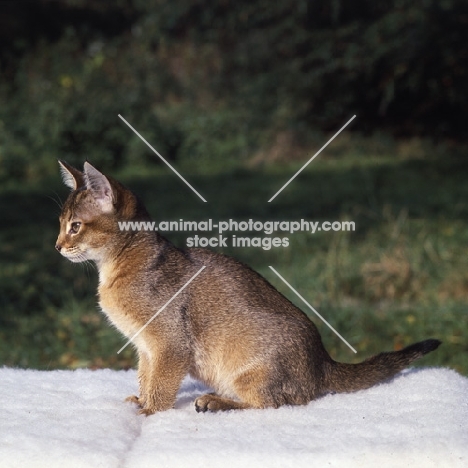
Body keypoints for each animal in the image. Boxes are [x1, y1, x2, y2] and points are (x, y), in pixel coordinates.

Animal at [56, 160, 440, 414]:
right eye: (61, 224)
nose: (58, 246)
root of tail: (323, 361)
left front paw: (150, 412)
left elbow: (162, 385)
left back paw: (215, 401)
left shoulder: (169, 342)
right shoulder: (146, 348)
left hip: (250, 372)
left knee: (275, 403)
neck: (118, 267)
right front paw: (140, 400)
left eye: (76, 226)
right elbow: (146, 376)